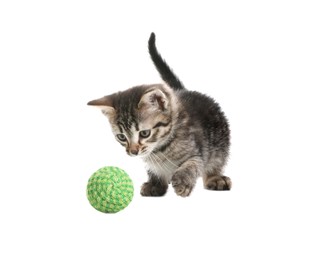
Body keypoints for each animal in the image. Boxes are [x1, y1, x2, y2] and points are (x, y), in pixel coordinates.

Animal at [88, 32, 231, 196]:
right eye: (121, 137)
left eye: (144, 133)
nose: (133, 152)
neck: (160, 149)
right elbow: (154, 169)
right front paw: (155, 184)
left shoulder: (198, 151)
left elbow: (192, 164)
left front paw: (183, 181)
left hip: (220, 144)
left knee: (216, 162)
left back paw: (215, 178)